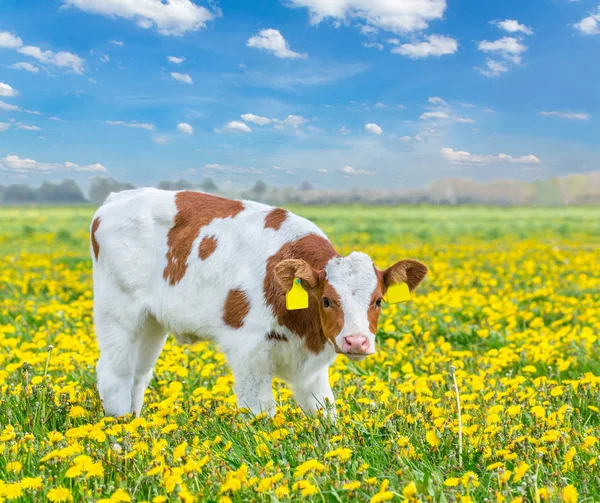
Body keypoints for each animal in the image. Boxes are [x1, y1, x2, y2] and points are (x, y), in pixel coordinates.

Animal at [89, 188, 428, 418]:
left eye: (378, 300)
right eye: (327, 300)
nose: (356, 341)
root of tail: (117, 198)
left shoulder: (312, 367)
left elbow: (324, 410)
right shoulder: (248, 351)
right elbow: (261, 413)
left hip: (151, 323)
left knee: (138, 374)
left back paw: (137, 423)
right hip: (117, 314)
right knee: (115, 373)